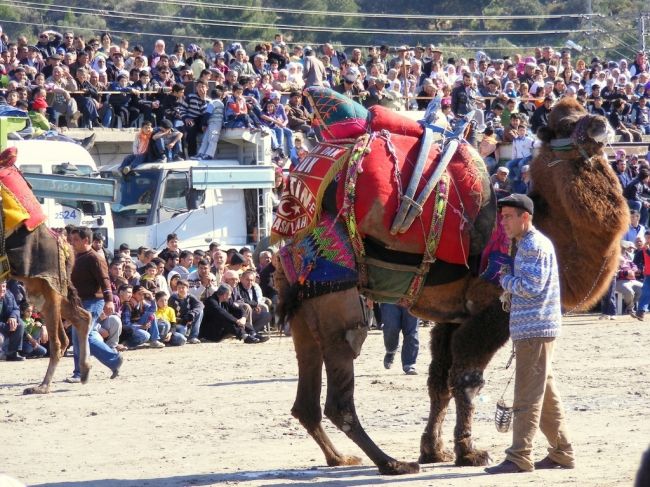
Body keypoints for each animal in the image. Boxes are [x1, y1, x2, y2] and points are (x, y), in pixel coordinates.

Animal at [0, 147, 92, 394]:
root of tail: (67, 248)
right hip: (43, 288)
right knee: (81, 318)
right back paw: (84, 372)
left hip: (49, 287)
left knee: (60, 340)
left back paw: (42, 386)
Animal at [270, 88, 624, 476]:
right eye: (567, 124)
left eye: (586, 110)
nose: (601, 123)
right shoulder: (490, 310)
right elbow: (467, 379)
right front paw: (469, 453)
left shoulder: (452, 316)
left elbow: (438, 379)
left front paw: (434, 450)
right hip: (337, 298)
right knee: (340, 393)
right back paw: (392, 463)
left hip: (305, 308)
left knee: (306, 401)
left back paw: (341, 458)